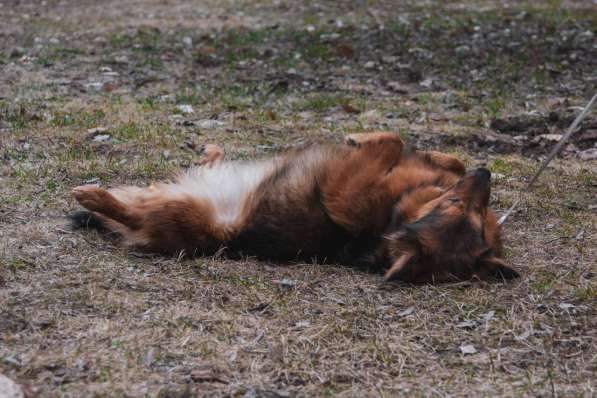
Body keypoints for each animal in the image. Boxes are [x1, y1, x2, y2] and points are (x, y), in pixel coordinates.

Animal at [68, 131, 516, 282]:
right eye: (464, 204)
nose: (488, 171)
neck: (396, 210)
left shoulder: (345, 192)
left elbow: (393, 144)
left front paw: (359, 137)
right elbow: (441, 158)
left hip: (185, 216)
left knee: (132, 215)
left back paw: (93, 196)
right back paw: (212, 151)